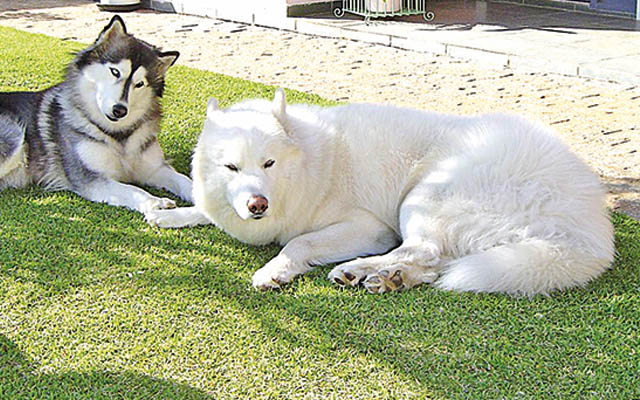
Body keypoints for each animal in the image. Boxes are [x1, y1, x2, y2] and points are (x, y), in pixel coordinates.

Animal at [148, 90, 616, 296]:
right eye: (231, 168)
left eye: (269, 164)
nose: (257, 204)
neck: (315, 162)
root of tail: (587, 230)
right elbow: (205, 208)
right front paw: (168, 212)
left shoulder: (368, 227)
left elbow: (299, 242)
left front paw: (275, 270)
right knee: (435, 261)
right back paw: (388, 277)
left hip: (424, 195)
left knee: (424, 249)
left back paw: (359, 269)